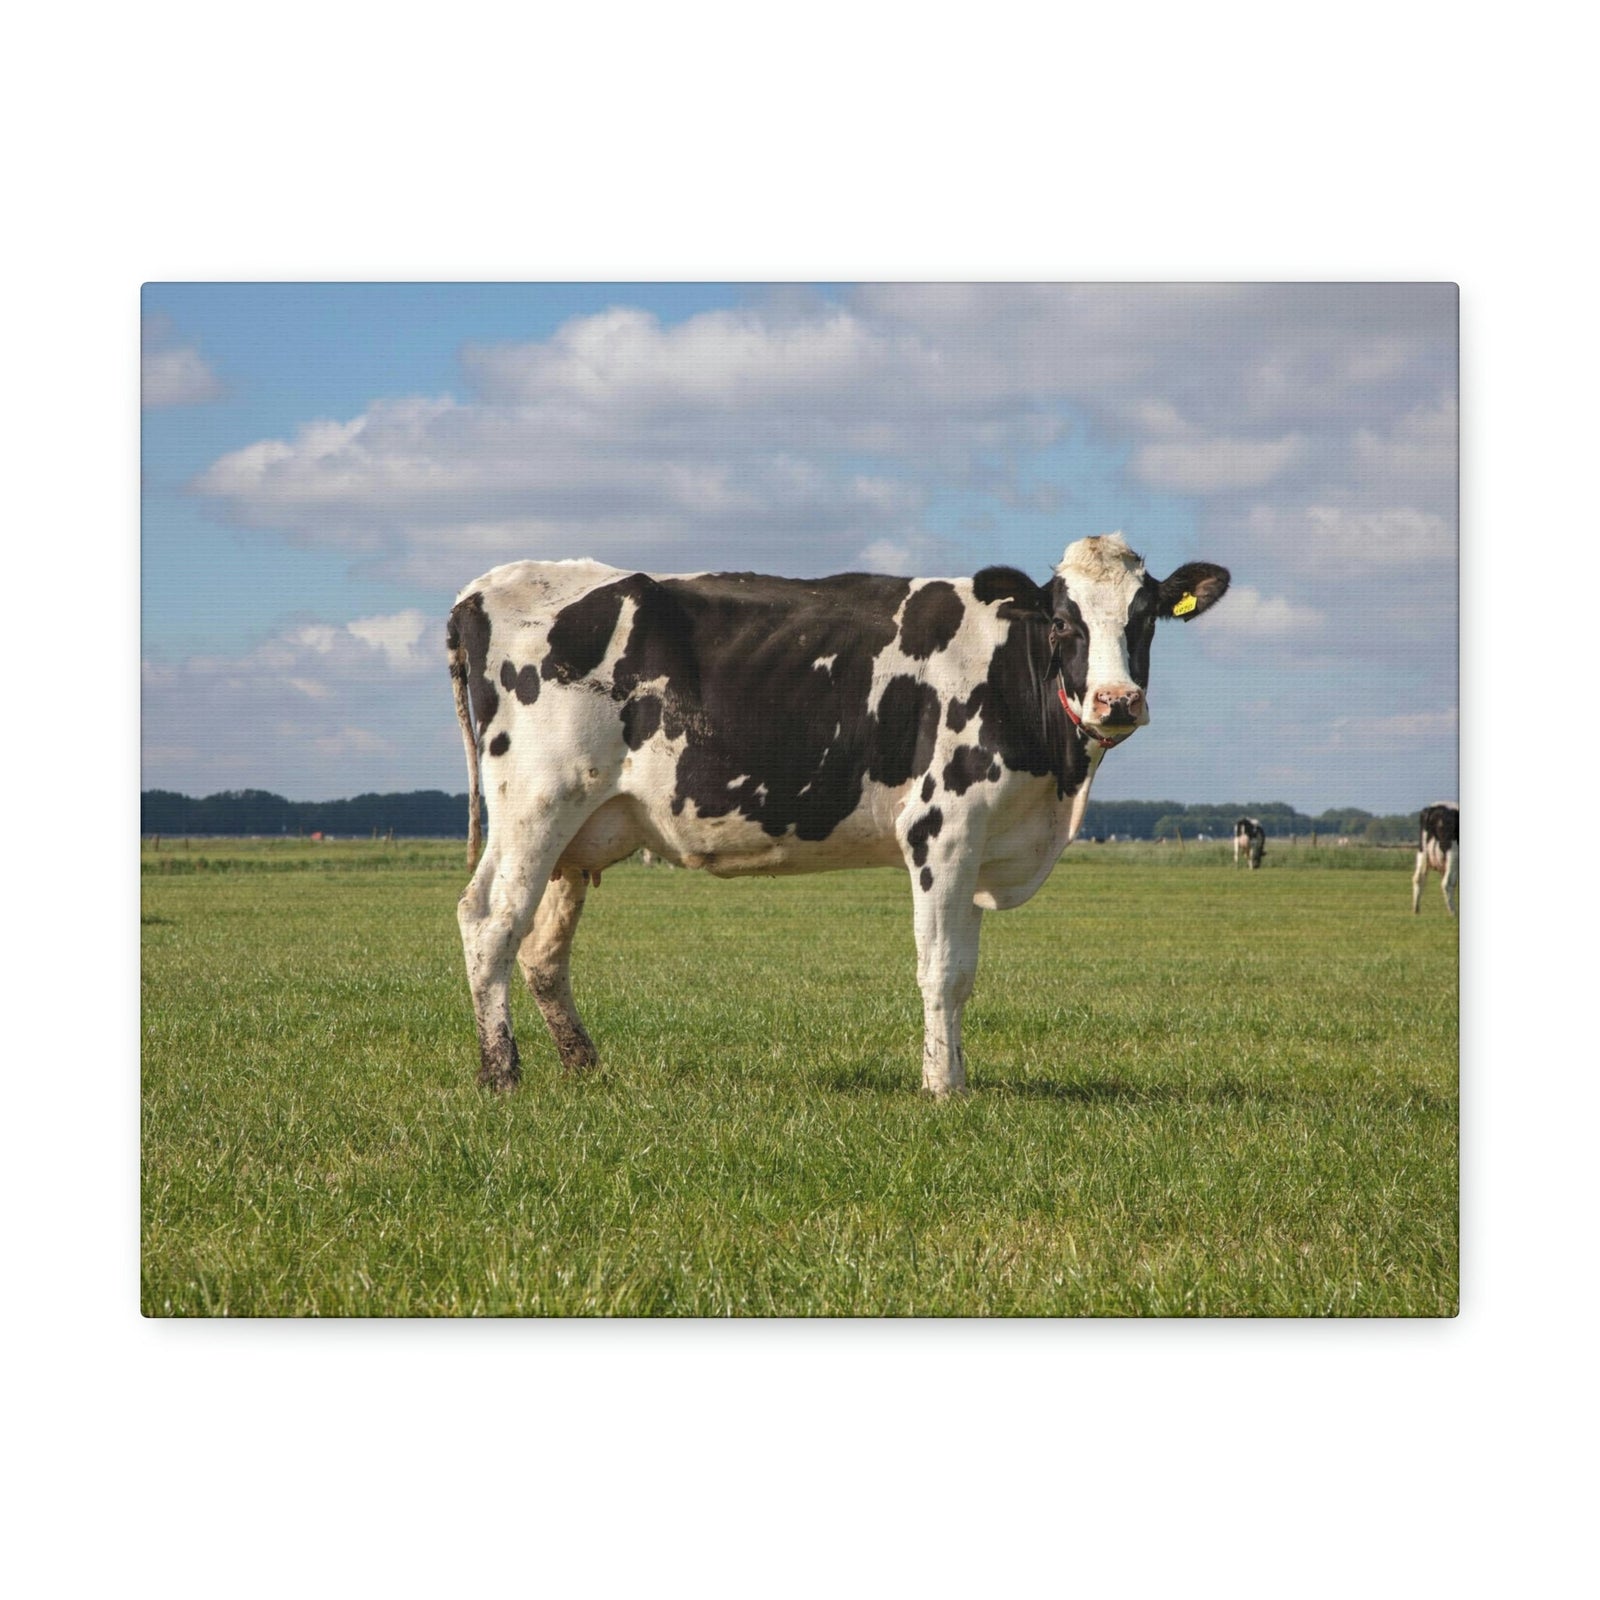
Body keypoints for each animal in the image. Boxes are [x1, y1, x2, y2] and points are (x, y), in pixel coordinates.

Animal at [448, 533, 1229, 1096]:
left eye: (1145, 618)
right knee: (489, 920)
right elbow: (941, 968)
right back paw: (501, 1073)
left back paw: (582, 1064)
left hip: (577, 831)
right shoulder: (941, 828)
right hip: (535, 802)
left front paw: (957, 1074)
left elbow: (966, 971)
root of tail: (485, 589)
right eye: (1064, 622)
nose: (1117, 700)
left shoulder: (981, 841)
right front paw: (943, 1088)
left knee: (543, 949)